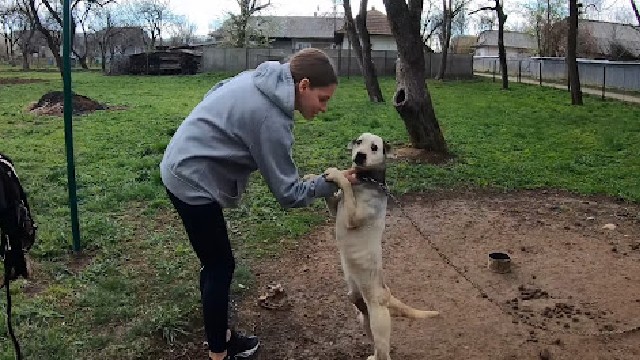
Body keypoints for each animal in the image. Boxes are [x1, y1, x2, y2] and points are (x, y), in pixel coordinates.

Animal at [320, 133, 440, 360]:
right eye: (359, 142)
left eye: (375, 147)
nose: (360, 156)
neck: (366, 181)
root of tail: (388, 295)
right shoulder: (335, 208)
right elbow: (331, 197)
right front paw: (311, 176)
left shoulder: (352, 217)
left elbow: (345, 184)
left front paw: (337, 174)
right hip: (361, 313)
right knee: (376, 345)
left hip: (378, 319)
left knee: (385, 351)